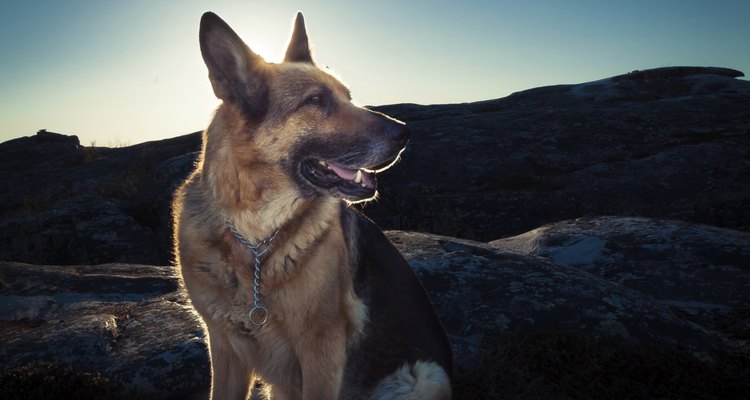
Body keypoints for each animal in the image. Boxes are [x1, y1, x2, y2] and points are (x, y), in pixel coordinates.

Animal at [175, 10, 452, 398]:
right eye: (317, 100)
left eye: (348, 96)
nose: (405, 133)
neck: (256, 235)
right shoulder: (225, 348)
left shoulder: (322, 351)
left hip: (424, 376)